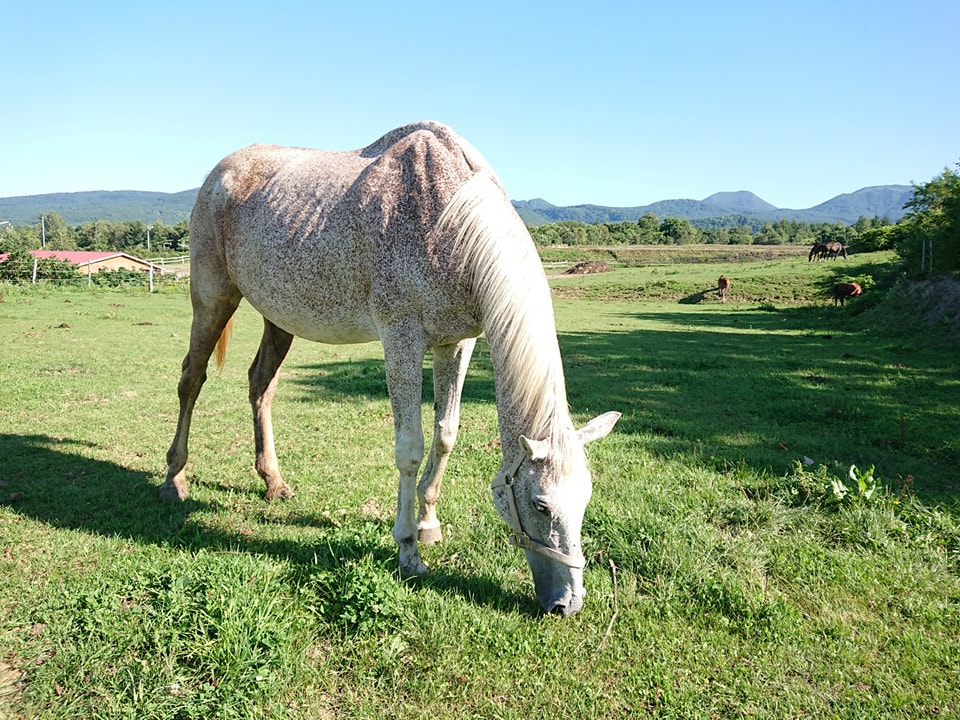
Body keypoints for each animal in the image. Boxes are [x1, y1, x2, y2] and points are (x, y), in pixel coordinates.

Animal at [160, 121, 620, 616]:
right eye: (540, 505)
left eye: (585, 500)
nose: (567, 603)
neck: (448, 219)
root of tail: (218, 175)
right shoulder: (401, 338)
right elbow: (410, 448)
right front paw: (408, 552)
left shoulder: (457, 343)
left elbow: (445, 434)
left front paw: (429, 525)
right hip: (212, 299)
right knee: (191, 380)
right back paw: (174, 480)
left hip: (278, 318)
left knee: (260, 385)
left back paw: (273, 483)